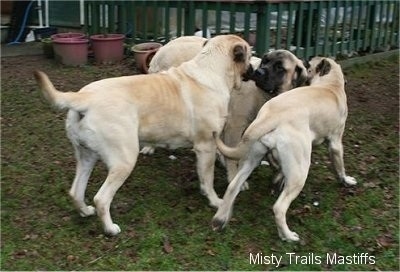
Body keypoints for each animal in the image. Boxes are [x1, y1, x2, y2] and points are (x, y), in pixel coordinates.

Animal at [148, 36, 308, 185]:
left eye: (280, 68)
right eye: (265, 61)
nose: (259, 72)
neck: (265, 95)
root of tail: (163, 48)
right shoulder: (234, 126)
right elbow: (232, 156)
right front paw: (233, 177)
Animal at [211, 56, 358, 241]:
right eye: (309, 66)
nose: (305, 62)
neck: (330, 85)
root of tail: (270, 116)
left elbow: (278, 170)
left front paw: (276, 180)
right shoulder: (336, 143)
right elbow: (340, 167)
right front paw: (346, 180)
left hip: (253, 158)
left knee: (232, 187)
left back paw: (220, 219)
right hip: (300, 171)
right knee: (279, 208)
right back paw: (288, 235)